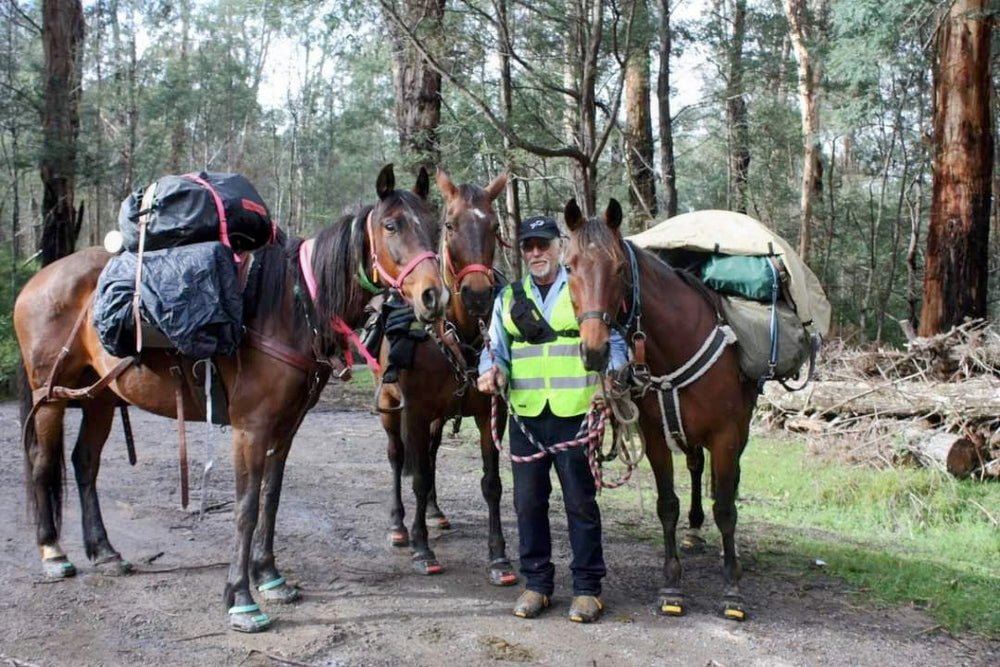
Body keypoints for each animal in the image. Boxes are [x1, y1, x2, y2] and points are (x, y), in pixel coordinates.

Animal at [14, 164, 446, 636]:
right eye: (391, 226)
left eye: (435, 225)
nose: (434, 296)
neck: (289, 308)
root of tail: (37, 280)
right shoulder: (250, 429)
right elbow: (246, 507)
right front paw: (240, 598)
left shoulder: (285, 428)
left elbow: (270, 500)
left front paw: (269, 577)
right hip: (50, 395)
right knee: (43, 465)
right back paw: (53, 552)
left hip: (99, 399)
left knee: (84, 463)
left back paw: (105, 552)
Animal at [376, 170, 516, 588]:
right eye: (450, 225)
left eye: (494, 226)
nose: (477, 295)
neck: (457, 334)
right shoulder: (416, 412)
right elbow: (418, 476)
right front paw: (423, 549)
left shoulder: (490, 414)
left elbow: (491, 483)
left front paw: (499, 556)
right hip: (390, 408)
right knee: (398, 456)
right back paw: (399, 526)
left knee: (433, 453)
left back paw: (435, 511)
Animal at [564, 197, 756, 620]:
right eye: (568, 266)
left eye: (619, 268)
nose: (595, 350)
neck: (678, 343)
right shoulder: (654, 435)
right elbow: (667, 505)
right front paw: (671, 586)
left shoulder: (725, 435)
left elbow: (726, 509)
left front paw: (733, 589)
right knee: (696, 466)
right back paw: (694, 531)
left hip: (741, 429)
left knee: (729, 482)